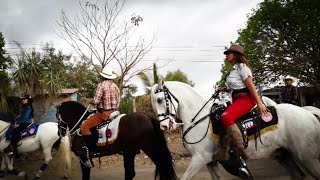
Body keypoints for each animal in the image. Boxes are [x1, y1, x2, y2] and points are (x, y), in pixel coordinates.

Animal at [151, 81, 320, 180]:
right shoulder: (210, 162)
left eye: (159, 99)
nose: (164, 126)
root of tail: (308, 113)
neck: (198, 119)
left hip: (308, 157)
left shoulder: (200, 159)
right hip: (284, 155)